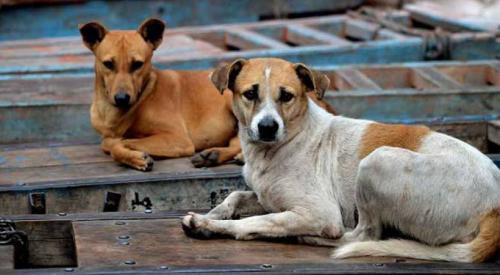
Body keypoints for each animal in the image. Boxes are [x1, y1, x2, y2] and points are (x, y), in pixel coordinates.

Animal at [79, 18, 336, 171]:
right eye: (108, 64)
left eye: (137, 64)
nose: (122, 98)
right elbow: (111, 141)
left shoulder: (177, 139)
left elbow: (113, 143)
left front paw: (134, 155)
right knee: (236, 141)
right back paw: (215, 155)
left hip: (229, 99)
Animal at [183, 57, 500, 264]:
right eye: (250, 93)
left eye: (286, 96)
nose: (268, 127)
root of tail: (494, 207)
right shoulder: (267, 196)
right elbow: (236, 196)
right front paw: (215, 213)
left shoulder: (320, 213)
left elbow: (254, 222)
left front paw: (208, 225)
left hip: (375, 162)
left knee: (363, 236)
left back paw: (310, 238)